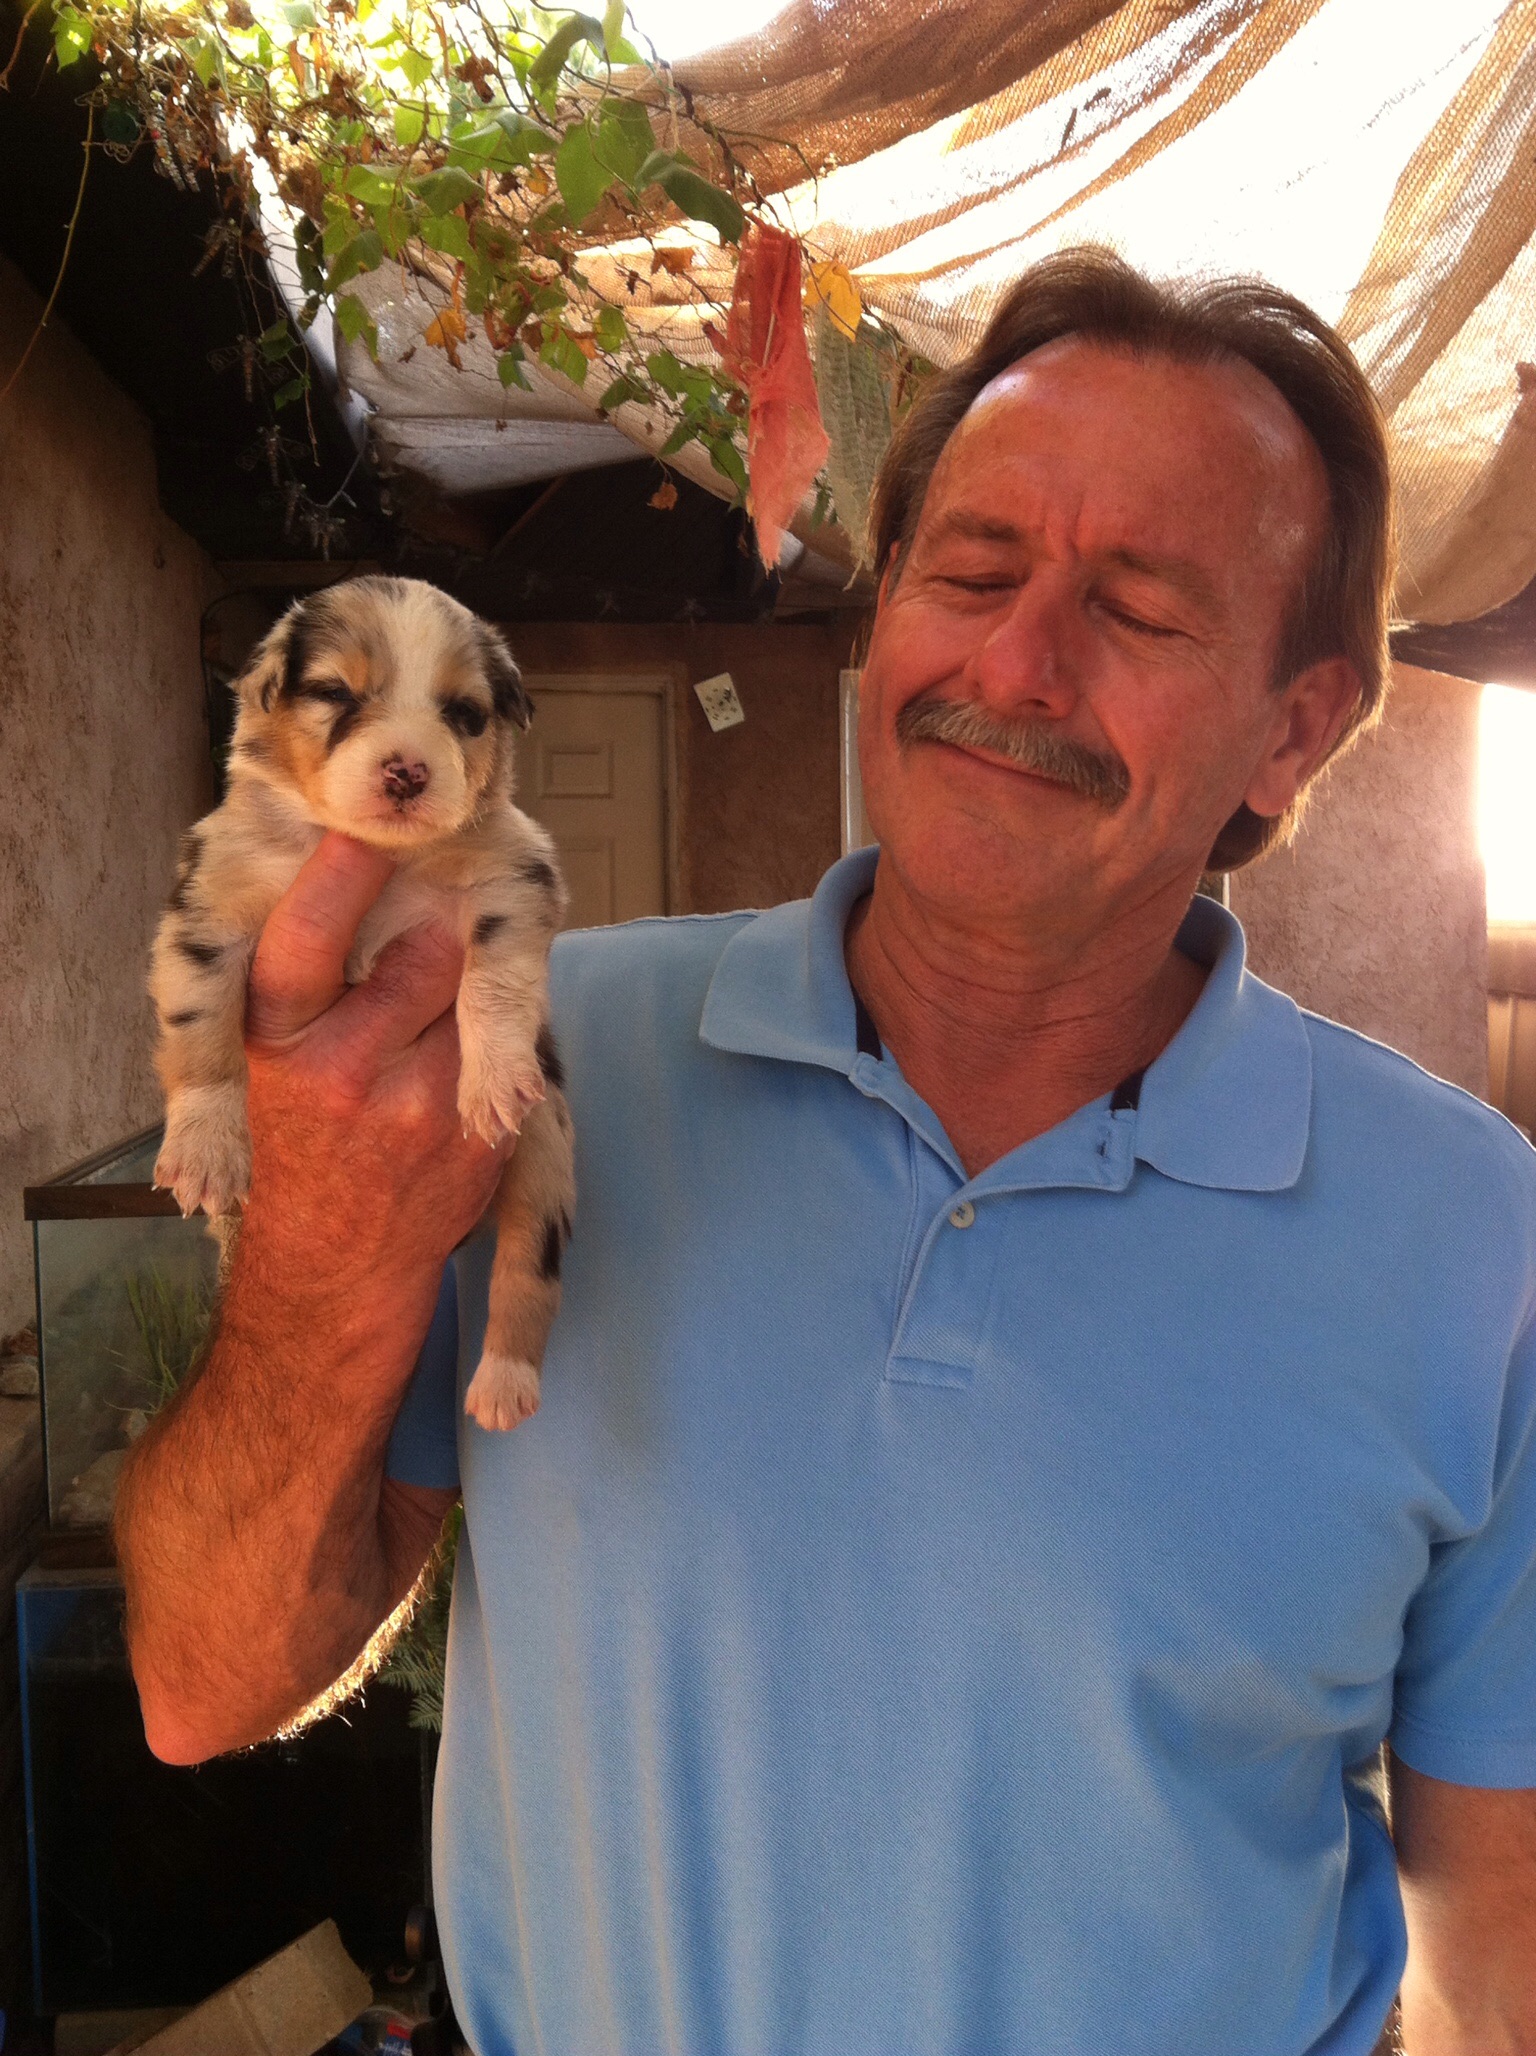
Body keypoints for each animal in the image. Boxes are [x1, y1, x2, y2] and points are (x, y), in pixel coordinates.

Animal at [152, 567, 575, 1430]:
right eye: (333, 692)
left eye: (464, 714)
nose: (408, 770)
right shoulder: (208, 905)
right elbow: (202, 1032)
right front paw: (207, 1145)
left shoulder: (514, 875)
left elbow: (495, 984)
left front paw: (492, 1080)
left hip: (546, 1160)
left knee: (526, 1271)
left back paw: (502, 1382)